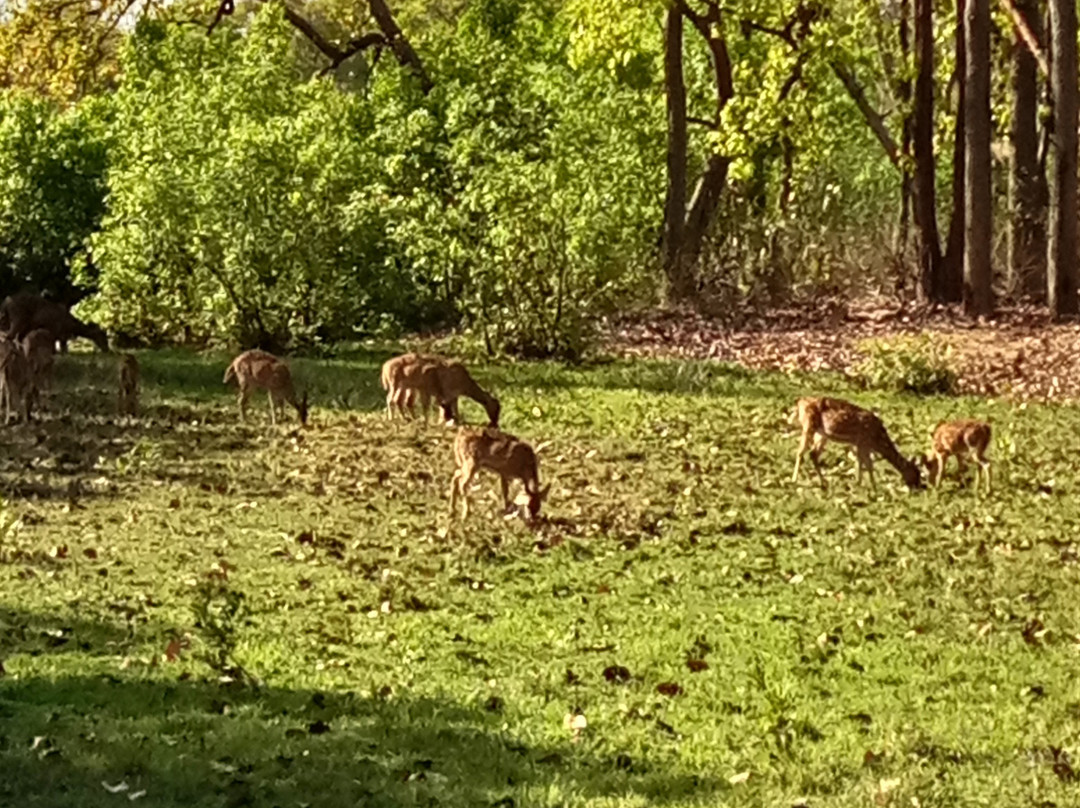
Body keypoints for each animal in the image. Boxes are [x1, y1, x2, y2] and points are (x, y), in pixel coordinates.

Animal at [790, 399, 924, 492]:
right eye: (916, 473)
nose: (918, 488)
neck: (877, 440)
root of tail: (800, 402)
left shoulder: (858, 444)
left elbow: (860, 462)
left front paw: (858, 483)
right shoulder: (863, 442)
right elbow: (868, 464)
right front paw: (874, 487)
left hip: (822, 434)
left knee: (813, 453)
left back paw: (824, 482)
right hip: (808, 424)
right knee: (801, 452)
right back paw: (794, 480)